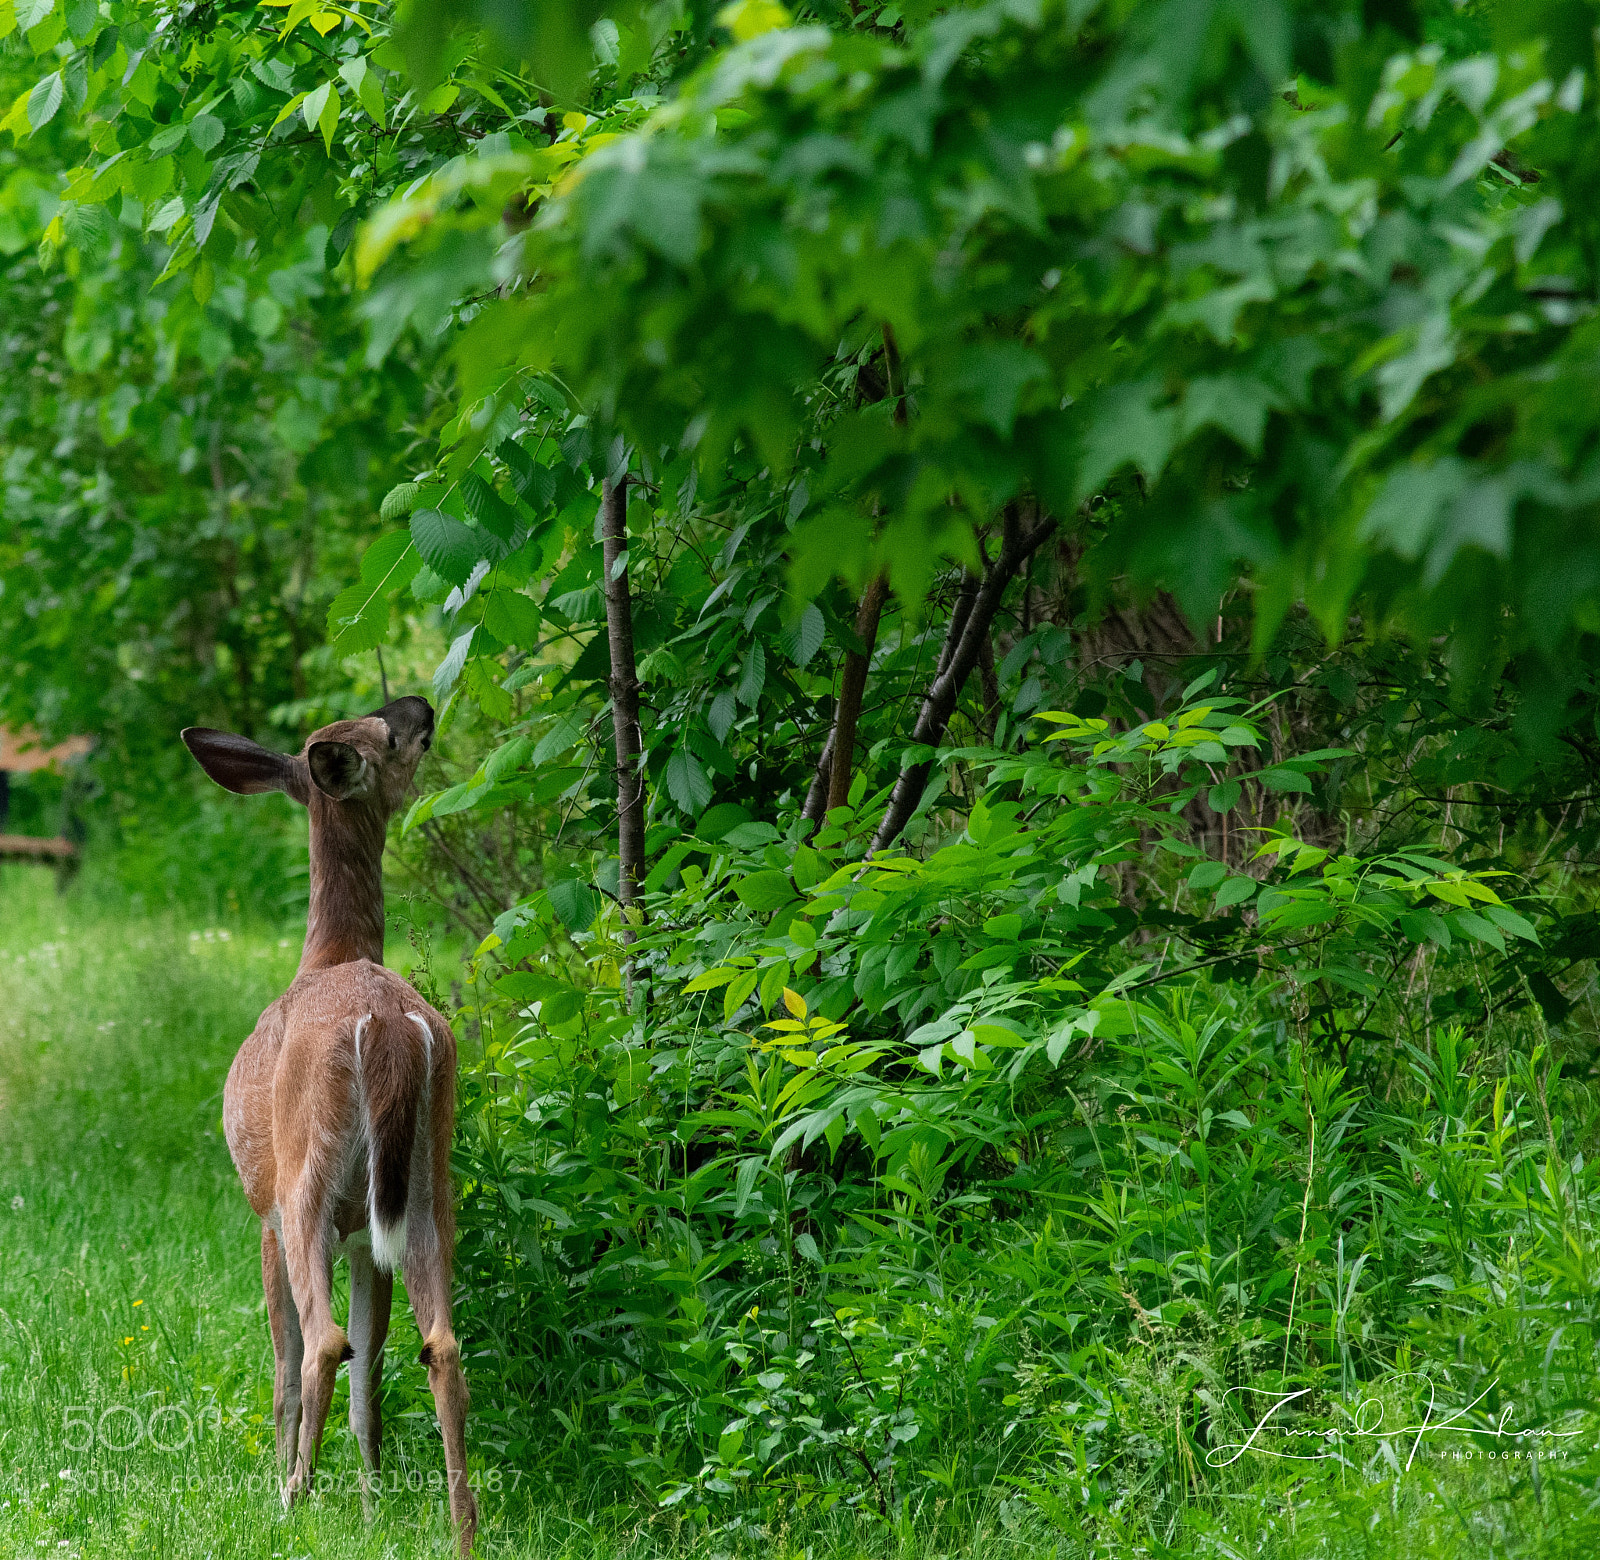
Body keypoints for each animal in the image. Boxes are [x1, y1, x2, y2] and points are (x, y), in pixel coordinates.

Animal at [182, 695, 477, 1554]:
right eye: (382, 727)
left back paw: (289, 1502)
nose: (421, 705)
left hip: (306, 1183)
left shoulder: (264, 1211)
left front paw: (286, 1487)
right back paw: (463, 1529)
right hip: (426, 1182)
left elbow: (284, 1369)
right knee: (438, 1346)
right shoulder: (365, 1239)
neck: (327, 953)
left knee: (321, 1344)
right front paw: (374, 1510)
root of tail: (386, 1027)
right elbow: (370, 1384)